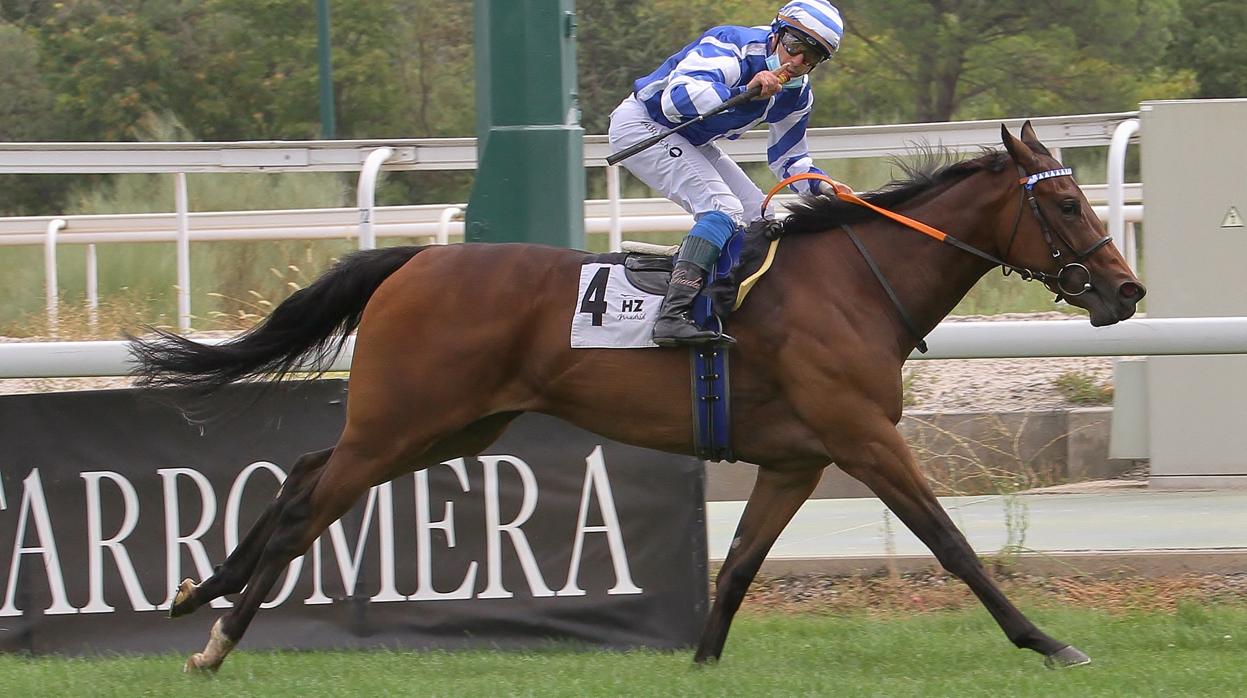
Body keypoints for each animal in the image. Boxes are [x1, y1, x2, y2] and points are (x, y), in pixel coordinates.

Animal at [134, 124, 1142, 673]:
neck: (855, 283)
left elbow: (737, 566)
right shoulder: (860, 439)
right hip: (403, 421)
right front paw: (1048, 642)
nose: (1126, 291)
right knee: (308, 507)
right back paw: (215, 640)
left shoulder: (793, 459)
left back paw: (196, 593)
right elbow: (952, 543)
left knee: (305, 470)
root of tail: (414, 260)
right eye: (1064, 207)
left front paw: (698, 660)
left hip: (449, 428)